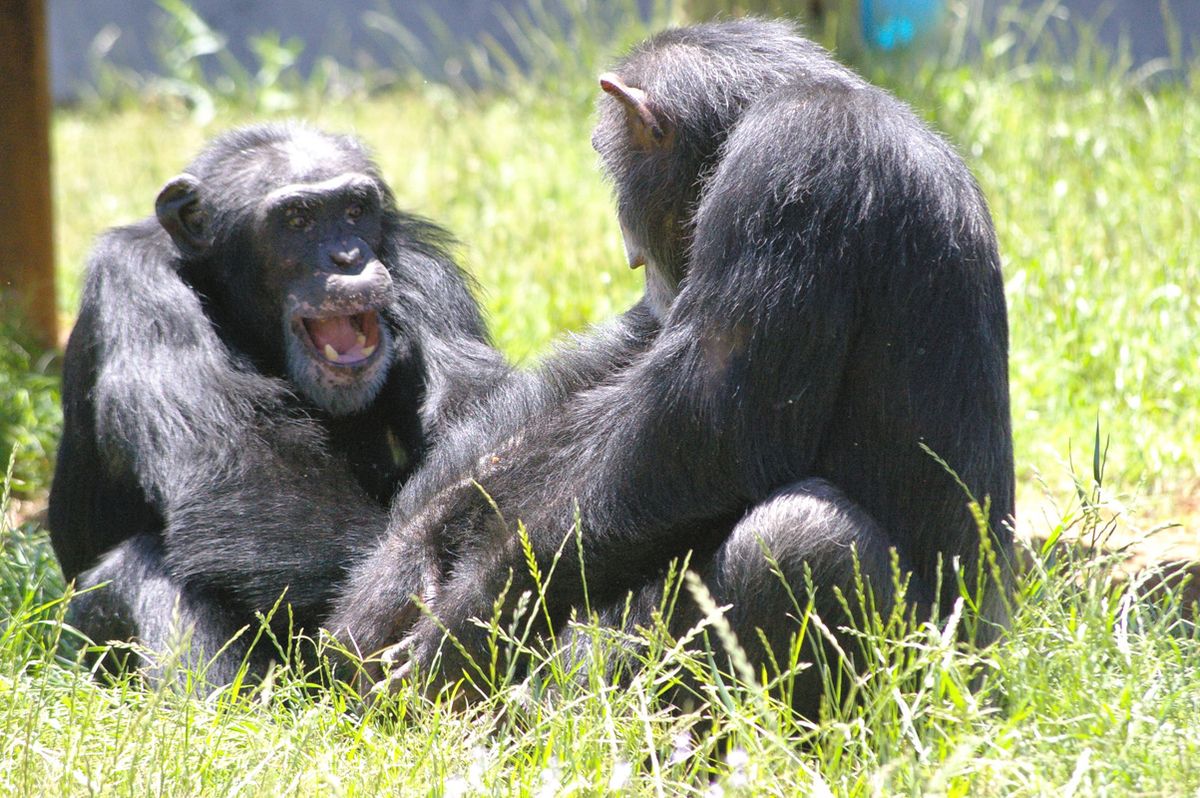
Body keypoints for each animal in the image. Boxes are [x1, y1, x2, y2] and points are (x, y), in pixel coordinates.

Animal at [45, 124, 506, 686]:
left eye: (355, 210)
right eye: (297, 220)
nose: (347, 257)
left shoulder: (424, 270)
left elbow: (475, 409)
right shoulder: (140, 289)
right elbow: (244, 472)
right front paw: (408, 585)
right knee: (142, 567)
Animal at [333, 18, 1017, 715]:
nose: (629, 243)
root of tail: (991, 676)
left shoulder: (794, 165)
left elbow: (701, 426)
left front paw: (473, 619)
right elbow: (635, 348)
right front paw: (412, 550)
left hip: (928, 678)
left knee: (800, 536)